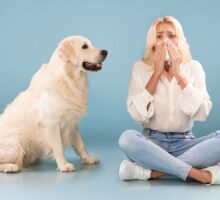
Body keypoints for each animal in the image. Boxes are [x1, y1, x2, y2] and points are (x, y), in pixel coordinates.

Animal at [0, 35, 107, 172]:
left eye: (91, 44)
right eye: (84, 46)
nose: (105, 52)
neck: (68, 80)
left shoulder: (72, 122)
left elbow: (80, 144)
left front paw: (88, 158)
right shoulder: (51, 123)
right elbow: (58, 146)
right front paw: (63, 165)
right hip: (15, 145)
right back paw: (11, 166)